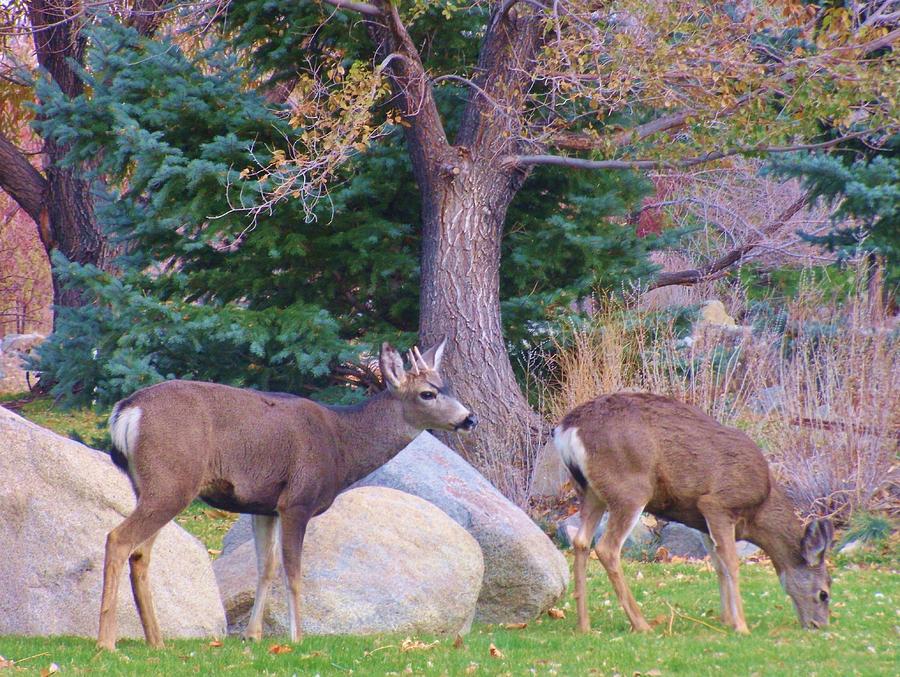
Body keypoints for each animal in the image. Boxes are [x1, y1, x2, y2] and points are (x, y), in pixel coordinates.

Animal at [98, 340, 478, 652]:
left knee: (141, 553)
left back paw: (156, 641)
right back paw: (107, 642)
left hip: (155, 486)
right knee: (118, 538)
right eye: (427, 393)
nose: (469, 418)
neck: (342, 446)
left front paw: (253, 636)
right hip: (171, 481)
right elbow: (293, 571)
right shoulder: (298, 500)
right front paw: (297, 638)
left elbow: (266, 566)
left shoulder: (263, 506)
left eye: (447, 387)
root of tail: (126, 411)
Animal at [552, 390, 832, 632]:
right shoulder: (718, 503)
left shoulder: (701, 520)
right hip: (630, 488)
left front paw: (727, 620)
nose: (819, 626)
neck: (759, 511)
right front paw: (741, 626)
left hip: (590, 492)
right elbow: (732, 563)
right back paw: (641, 625)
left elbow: (718, 565)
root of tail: (568, 430)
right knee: (607, 548)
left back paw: (584, 625)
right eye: (824, 594)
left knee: (581, 541)